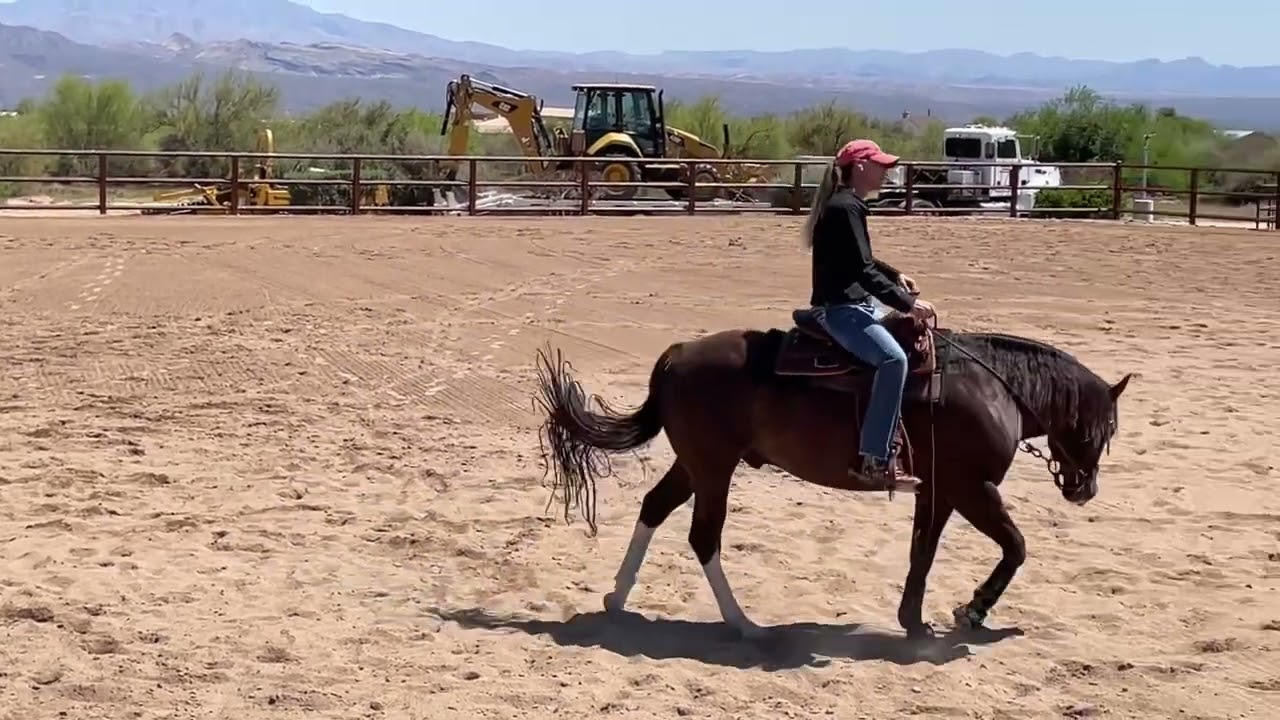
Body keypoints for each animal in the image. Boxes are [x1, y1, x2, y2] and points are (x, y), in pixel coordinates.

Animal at [533, 308, 1131, 640]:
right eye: (1103, 427)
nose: (1086, 489)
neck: (992, 387)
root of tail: (679, 353)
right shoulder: (971, 488)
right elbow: (1015, 547)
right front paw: (972, 611)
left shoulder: (938, 491)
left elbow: (922, 552)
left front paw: (914, 621)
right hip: (715, 468)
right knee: (704, 537)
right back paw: (744, 624)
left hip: (697, 464)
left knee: (655, 508)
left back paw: (617, 598)